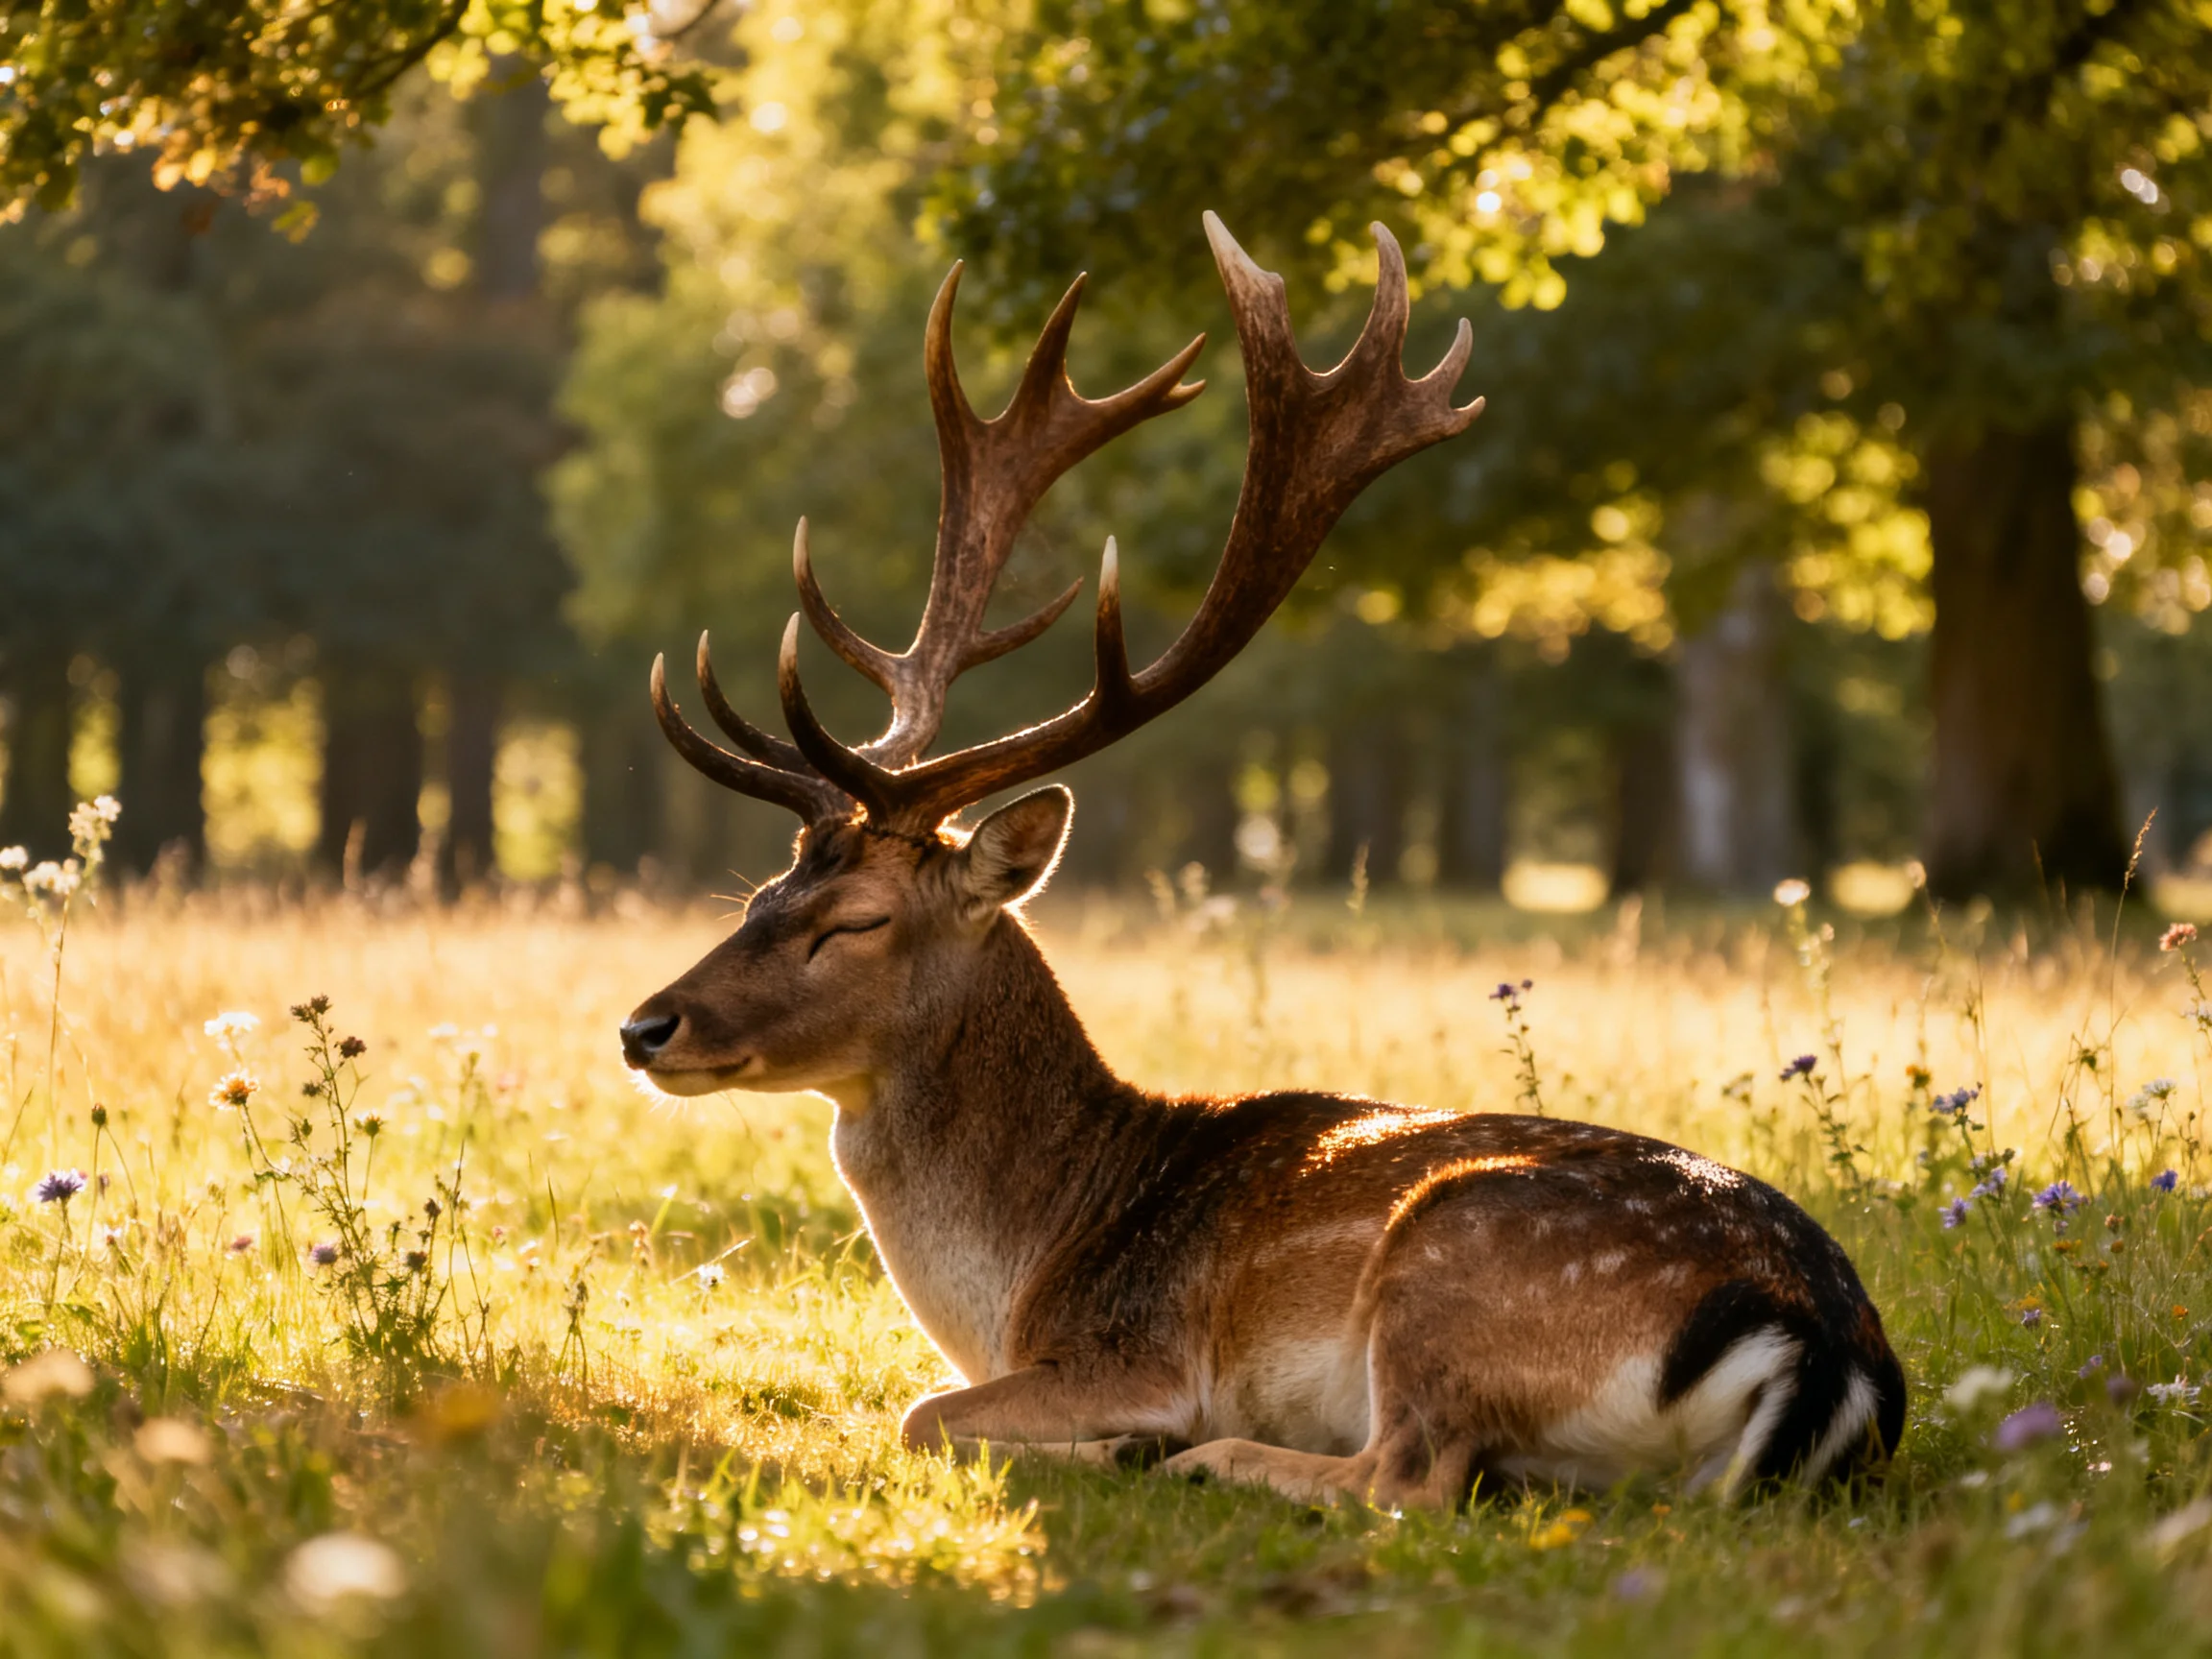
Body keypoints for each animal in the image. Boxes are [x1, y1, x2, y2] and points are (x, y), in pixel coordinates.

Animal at [619, 214, 1907, 1508]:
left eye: (856, 921)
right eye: (763, 894)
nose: (644, 1026)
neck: (1027, 1275)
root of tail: (1822, 1342)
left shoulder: (1130, 1350)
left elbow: (919, 1413)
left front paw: (1127, 1441)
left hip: (1449, 1265)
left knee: (1411, 1478)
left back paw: (1199, 1459)